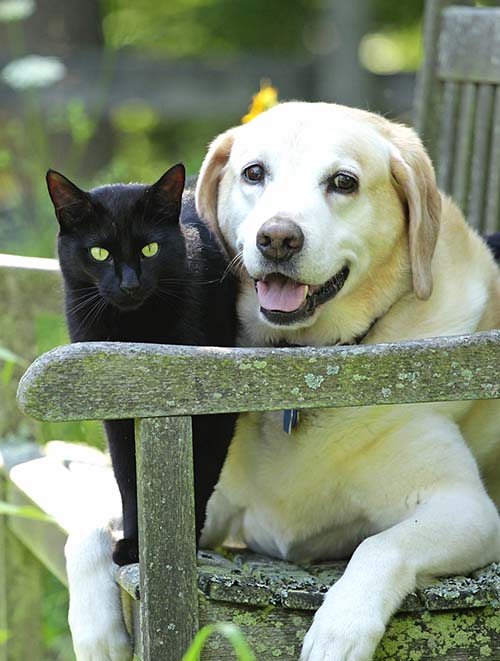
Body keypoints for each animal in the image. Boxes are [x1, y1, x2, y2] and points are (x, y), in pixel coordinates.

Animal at [46, 162, 237, 564]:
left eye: (150, 249)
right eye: (99, 253)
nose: (130, 285)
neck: (135, 331)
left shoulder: (212, 404)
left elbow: (197, 472)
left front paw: (177, 545)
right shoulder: (116, 409)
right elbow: (128, 478)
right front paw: (135, 544)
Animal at [194, 100, 500, 656]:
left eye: (343, 182)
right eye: (254, 173)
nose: (277, 237)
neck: (305, 368)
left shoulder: (467, 509)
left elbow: (381, 544)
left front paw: (340, 628)